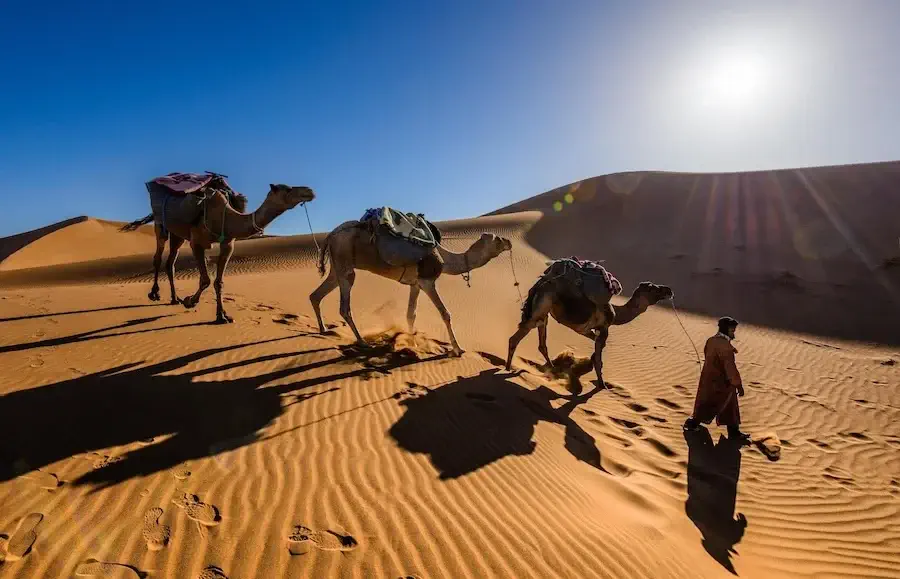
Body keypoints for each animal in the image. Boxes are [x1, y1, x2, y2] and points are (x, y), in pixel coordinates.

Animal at [122, 172, 312, 326]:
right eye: (287, 189)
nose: (310, 191)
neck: (224, 216)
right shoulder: (196, 242)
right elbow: (205, 280)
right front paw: (190, 301)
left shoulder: (227, 243)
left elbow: (218, 281)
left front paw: (222, 316)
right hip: (160, 223)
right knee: (158, 257)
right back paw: (155, 294)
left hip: (178, 234)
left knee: (170, 263)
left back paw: (174, 299)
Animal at [310, 222, 510, 356]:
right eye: (497, 239)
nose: (509, 242)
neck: (444, 259)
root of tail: (330, 235)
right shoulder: (427, 281)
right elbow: (445, 313)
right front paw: (458, 349)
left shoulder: (415, 284)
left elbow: (410, 314)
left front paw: (412, 344)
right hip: (344, 261)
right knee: (344, 305)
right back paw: (361, 342)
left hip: (337, 267)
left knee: (316, 295)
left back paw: (324, 330)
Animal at [506, 260, 668, 388]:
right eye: (653, 288)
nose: (669, 290)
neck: (616, 313)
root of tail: (541, 282)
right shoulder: (604, 329)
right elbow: (599, 357)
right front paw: (602, 385)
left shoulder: (586, 330)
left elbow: (596, 348)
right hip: (541, 307)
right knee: (516, 338)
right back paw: (508, 369)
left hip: (543, 313)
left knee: (542, 343)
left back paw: (552, 369)